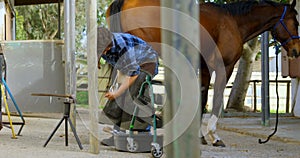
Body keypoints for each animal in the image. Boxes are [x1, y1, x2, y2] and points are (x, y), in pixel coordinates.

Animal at [105, 0, 300, 147]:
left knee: (120, 85)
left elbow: (204, 97)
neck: (233, 21)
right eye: (296, 23)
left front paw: (201, 136)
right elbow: (217, 98)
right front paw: (214, 136)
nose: (296, 51)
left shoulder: (205, 68)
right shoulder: (224, 67)